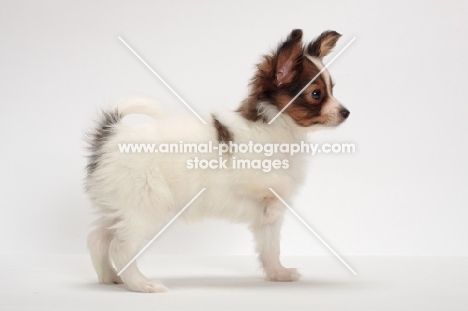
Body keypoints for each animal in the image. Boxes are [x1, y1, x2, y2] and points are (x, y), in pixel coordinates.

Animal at [87, 29, 352, 292]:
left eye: (332, 89)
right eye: (316, 94)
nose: (346, 112)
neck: (280, 130)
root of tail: (112, 133)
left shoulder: (269, 224)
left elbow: (270, 247)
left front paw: (278, 274)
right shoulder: (240, 178)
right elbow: (276, 188)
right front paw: (270, 210)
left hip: (120, 207)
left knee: (98, 239)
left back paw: (110, 277)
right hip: (146, 206)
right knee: (121, 247)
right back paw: (141, 284)